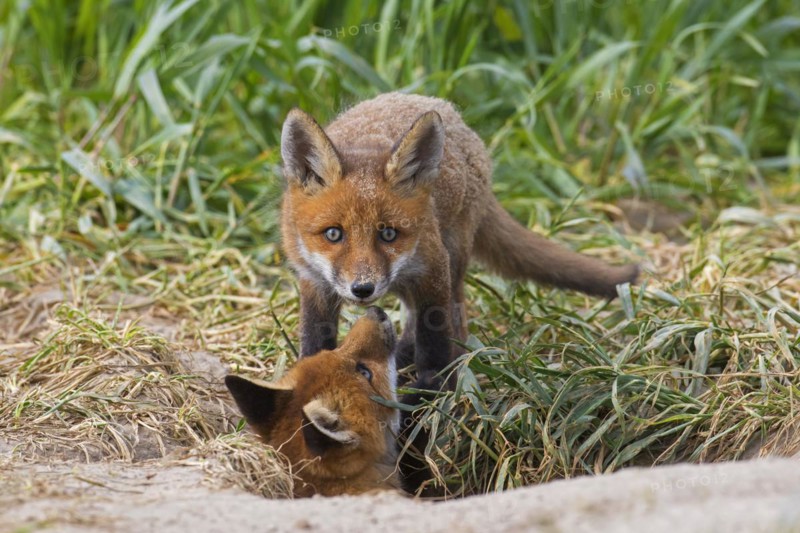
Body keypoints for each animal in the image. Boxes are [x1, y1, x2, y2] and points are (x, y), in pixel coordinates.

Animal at [280, 92, 638, 390]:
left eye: (388, 233)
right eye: (333, 234)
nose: (362, 289)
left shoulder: (433, 267)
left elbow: (435, 340)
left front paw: (432, 391)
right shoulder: (313, 279)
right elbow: (314, 337)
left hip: (454, 256)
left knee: (454, 321)